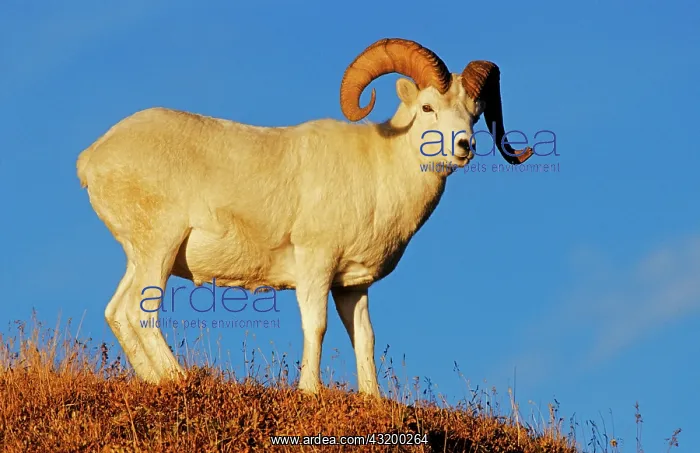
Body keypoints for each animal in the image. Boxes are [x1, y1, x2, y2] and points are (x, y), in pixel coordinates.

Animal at [76, 38, 533, 397]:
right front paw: (310, 391)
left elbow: (364, 339)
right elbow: (316, 327)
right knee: (139, 313)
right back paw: (180, 380)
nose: (464, 146)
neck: (380, 171)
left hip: (142, 256)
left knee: (117, 313)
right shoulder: (315, 266)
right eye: (426, 107)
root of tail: (92, 157)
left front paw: (372, 400)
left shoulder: (351, 286)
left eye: (474, 112)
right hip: (159, 247)